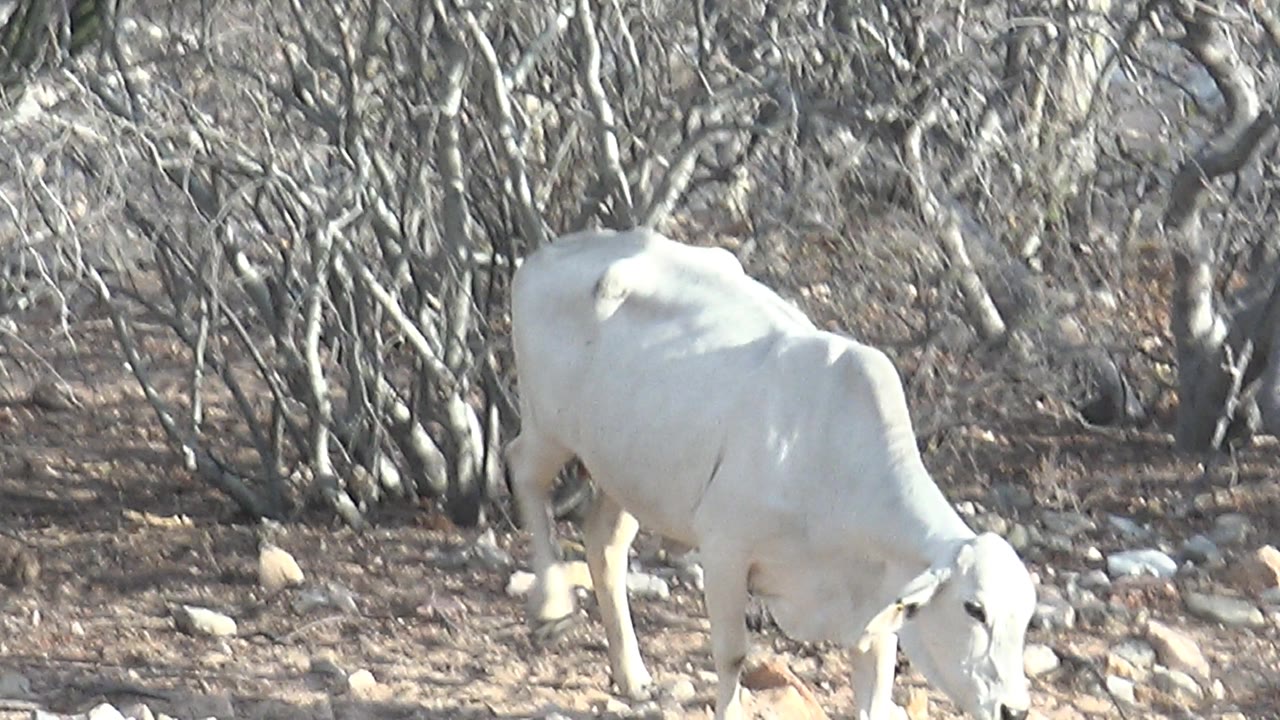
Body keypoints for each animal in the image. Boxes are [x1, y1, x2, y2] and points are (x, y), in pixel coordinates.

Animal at [506, 228, 1036, 720]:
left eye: (1027, 616)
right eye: (975, 608)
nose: (1014, 709)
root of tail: (544, 256)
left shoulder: (875, 610)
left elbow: (876, 690)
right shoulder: (725, 551)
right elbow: (731, 654)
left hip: (627, 470)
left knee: (604, 543)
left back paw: (632, 676)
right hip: (548, 426)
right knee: (522, 470)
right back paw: (552, 604)